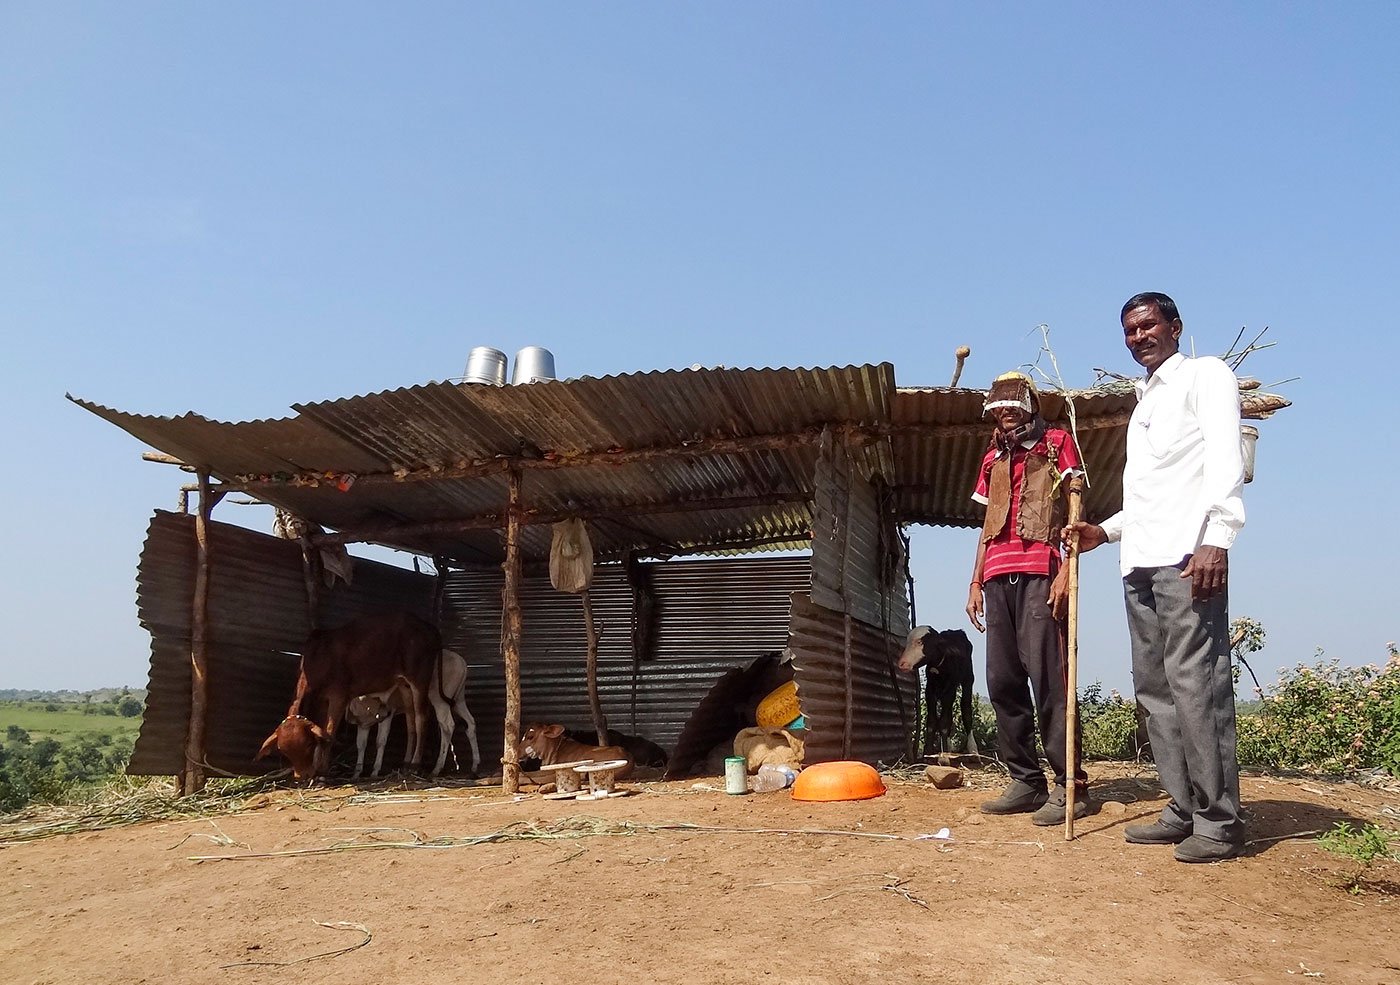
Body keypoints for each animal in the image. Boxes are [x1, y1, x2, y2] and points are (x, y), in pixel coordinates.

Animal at [257, 612, 439, 783]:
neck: (318, 659)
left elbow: (329, 732)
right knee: (411, 721)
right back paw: (406, 763)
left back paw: (415, 764)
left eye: (308, 744)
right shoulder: (322, 700)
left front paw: (322, 774)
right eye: (284, 752)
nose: (302, 776)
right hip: (404, 685)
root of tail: (429, 628)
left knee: (421, 719)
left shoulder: (339, 696)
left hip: (419, 679)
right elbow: (322, 732)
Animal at [896, 626, 974, 755]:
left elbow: (943, 723)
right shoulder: (930, 691)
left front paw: (944, 753)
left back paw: (973, 749)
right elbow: (932, 722)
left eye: (920, 642)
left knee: (966, 708)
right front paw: (927, 752)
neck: (939, 667)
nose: (902, 664)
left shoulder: (949, 690)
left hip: (968, 678)